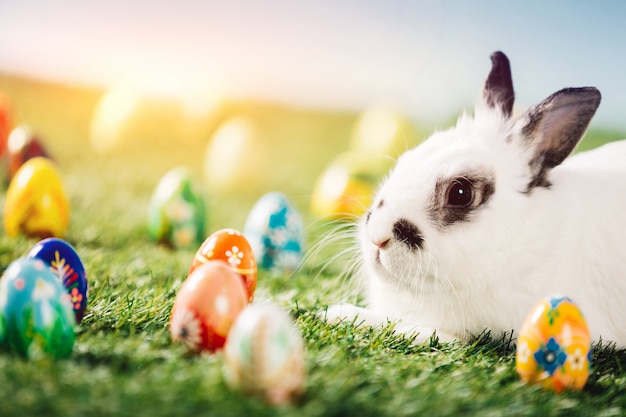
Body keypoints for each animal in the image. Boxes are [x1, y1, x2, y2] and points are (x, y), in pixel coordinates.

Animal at [324, 50, 624, 346]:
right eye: (405, 160)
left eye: (460, 193)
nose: (378, 237)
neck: (520, 241)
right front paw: (337, 313)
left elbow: (430, 333)